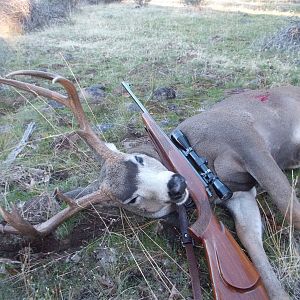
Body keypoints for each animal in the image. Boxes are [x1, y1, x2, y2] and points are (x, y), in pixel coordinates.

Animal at [0, 71, 300, 300]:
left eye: (138, 158)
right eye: (132, 199)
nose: (176, 184)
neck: (201, 159)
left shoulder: (246, 138)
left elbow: (289, 211)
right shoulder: (238, 193)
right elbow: (251, 239)